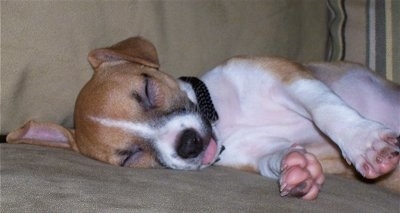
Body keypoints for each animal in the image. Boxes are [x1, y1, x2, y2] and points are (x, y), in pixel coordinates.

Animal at [7, 37, 400, 200]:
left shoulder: (290, 79)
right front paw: (298, 170)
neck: (227, 120)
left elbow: (326, 109)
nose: (188, 144)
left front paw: (364, 142)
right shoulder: (255, 152)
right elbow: (275, 159)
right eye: (131, 157)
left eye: (147, 90)